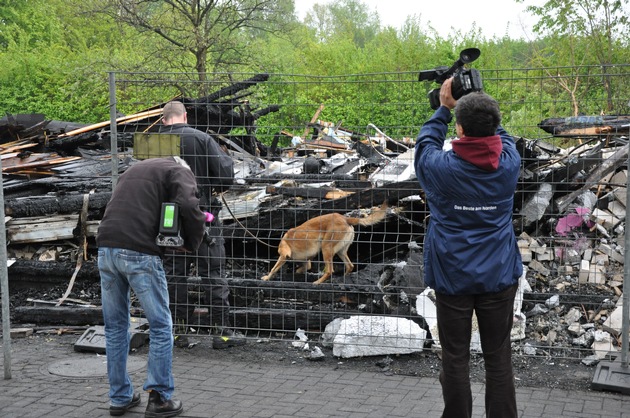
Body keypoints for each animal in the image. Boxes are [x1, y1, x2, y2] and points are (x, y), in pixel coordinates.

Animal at [262, 201, 390, 286]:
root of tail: (345, 218)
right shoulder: (306, 260)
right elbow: (304, 267)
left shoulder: (283, 255)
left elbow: (274, 268)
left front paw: (267, 277)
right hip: (341, 251)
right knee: (350, 266)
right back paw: (343, 279)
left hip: (326, 248)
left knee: (329, 271)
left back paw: (318, 282)